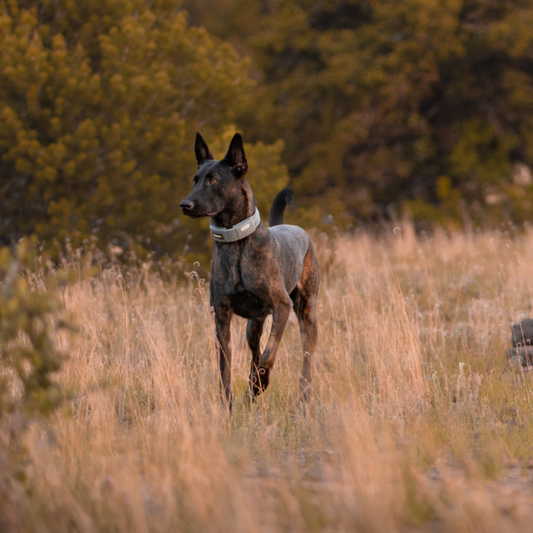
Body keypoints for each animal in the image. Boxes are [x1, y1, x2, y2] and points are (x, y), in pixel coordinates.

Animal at [179, 132, 320, 404]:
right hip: (253, 326)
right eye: (195, 180)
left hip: (306, 312)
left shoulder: (282, 307)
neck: (236, 243)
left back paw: (302, 394)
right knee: (254, 354)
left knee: (307, 357)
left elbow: (269, 355)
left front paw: (259, 385)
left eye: (213, 180)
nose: (185, 204)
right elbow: (225, 370)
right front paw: (229, 405)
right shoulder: (221, 318)